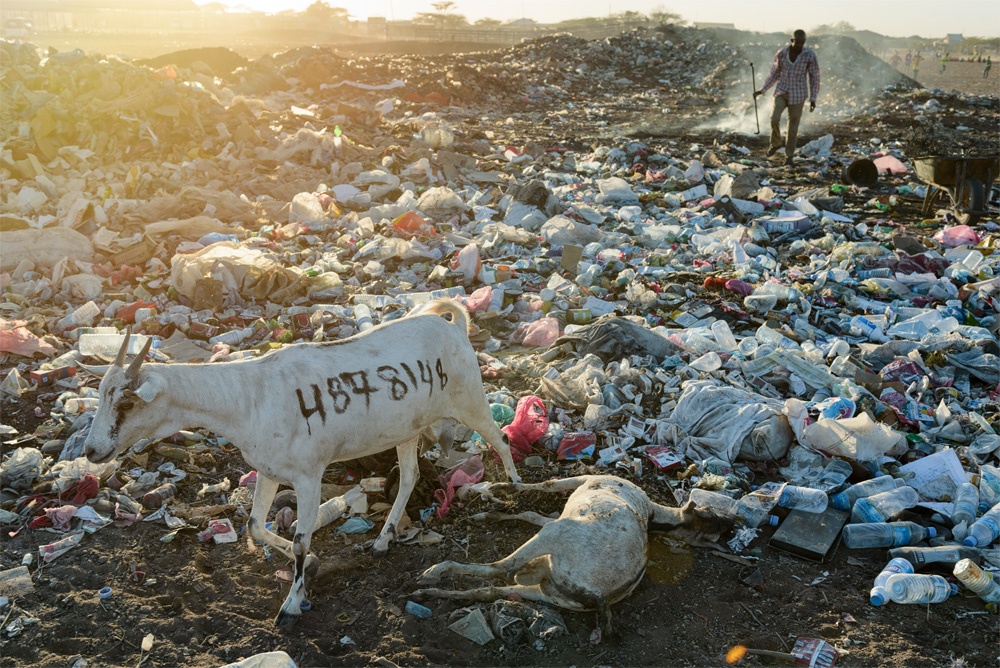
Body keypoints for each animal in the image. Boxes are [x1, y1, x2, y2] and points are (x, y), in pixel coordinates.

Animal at [84, 300, 524, 628]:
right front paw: (311, 567)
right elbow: (255, 526)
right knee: (410, 476)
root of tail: (453, 325)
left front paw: (292, 603)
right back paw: (383, 540)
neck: (248, 397)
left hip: (469, 398)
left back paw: (516, 487)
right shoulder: (268, 470)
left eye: (126, 403)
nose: (91, 451)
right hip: (407, 428)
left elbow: (298, 538)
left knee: (500, 438)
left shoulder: (309, 474)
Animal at [410, 474, 692, 636]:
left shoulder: (583, 481)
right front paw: (490, 510)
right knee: (490, 590)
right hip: (547, 593)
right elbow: (533, 513)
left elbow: (546, 486)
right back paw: (424, 593)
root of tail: (601, 597)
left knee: (502, 568)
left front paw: (499, 491)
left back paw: (435, 572)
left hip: (558, 534)